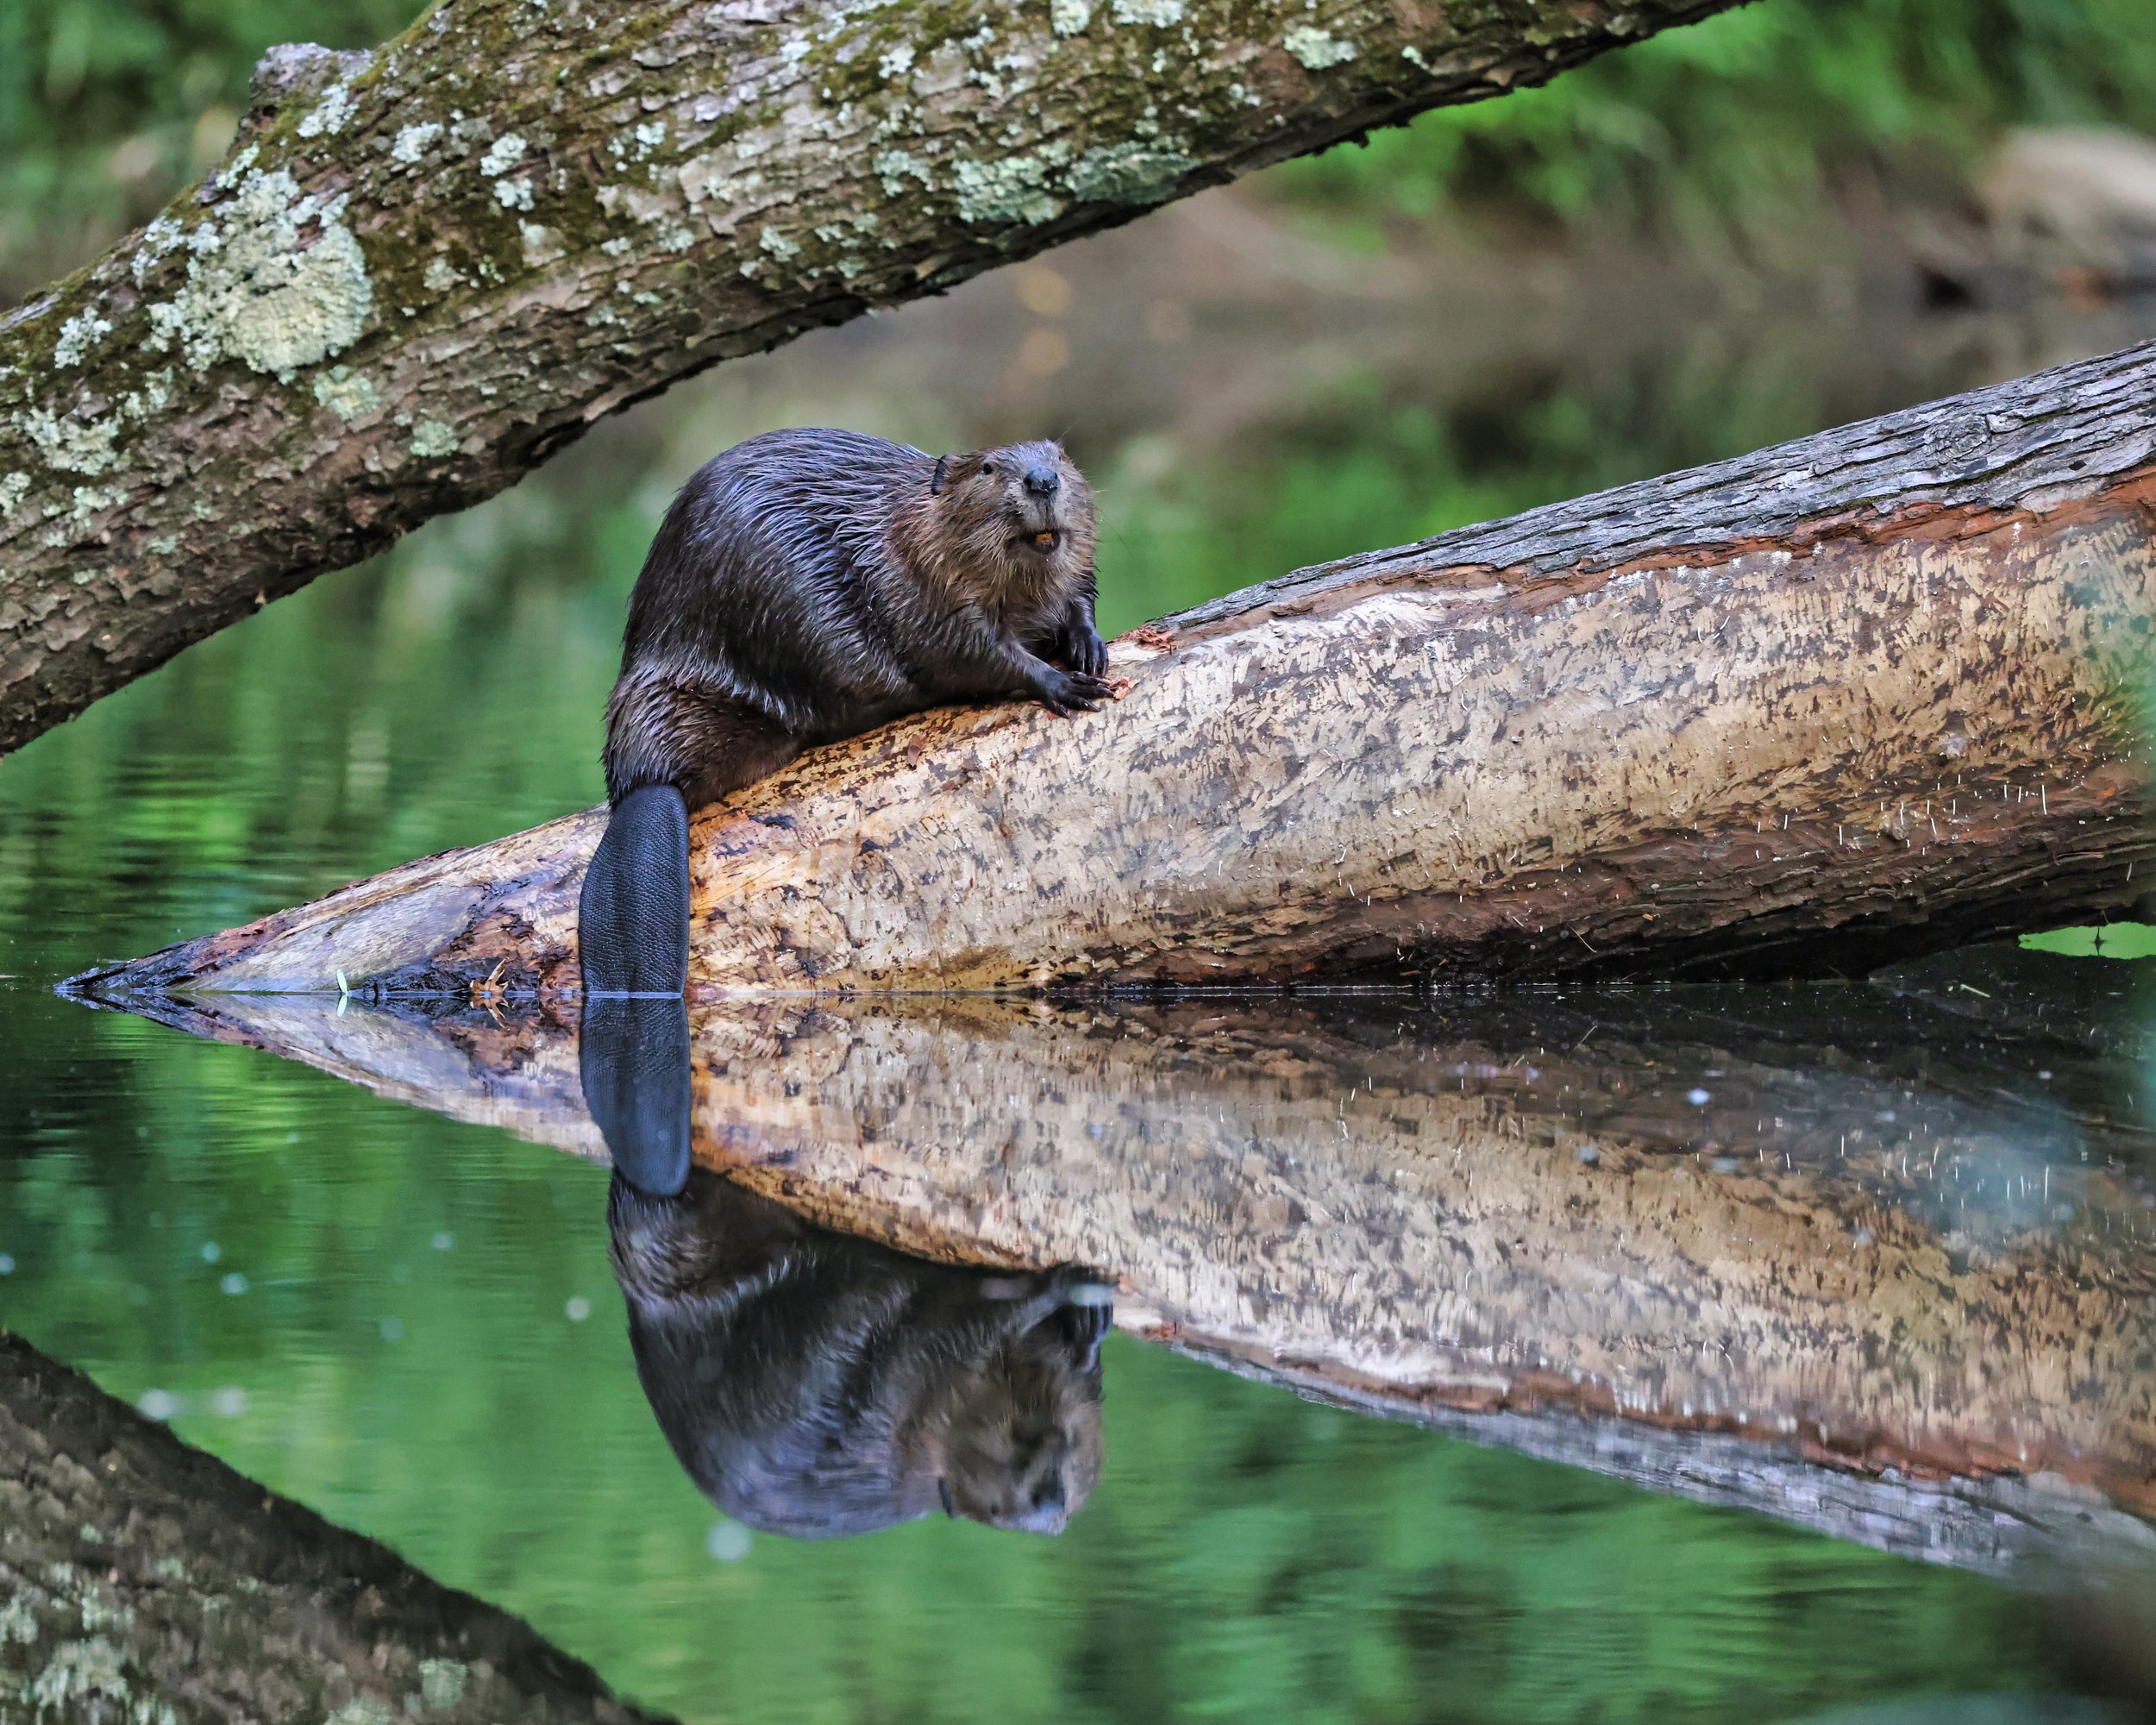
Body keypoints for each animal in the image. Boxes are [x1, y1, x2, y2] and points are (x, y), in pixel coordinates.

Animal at [578, 424, 1112, 1005]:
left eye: (1059, 455)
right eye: (989, 468)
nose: (1043, 480)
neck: (905, 529)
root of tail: (645, 778)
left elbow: (1080, 591)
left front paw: (1089, 646)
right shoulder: (919, 589)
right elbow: (972, 651)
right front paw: (1065, 682)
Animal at [608, 1156, 1112, 1535]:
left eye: (1066, 1504)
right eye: (996, 1509)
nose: (1047, 1498)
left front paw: (1091, 1323)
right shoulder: (908, 1377)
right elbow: (971, 1316)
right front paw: (1065, 1284)